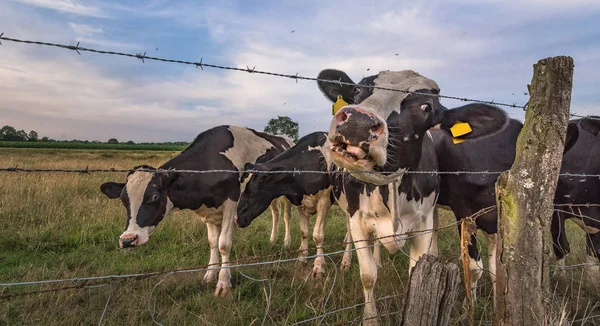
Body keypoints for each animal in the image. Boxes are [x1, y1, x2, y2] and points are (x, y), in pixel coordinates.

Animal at [100, 125, 292, 296]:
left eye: (154, 196)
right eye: (123, 200)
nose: (128, 240)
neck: (212, 162)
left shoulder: (231, 205)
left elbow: (224, 244)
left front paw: (223, 283)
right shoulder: (210, 211)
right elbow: (213, 242)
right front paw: (210, 275)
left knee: (286, 215)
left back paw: (286, 241)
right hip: (268, 195)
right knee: (275, 212)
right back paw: (273, 239)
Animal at [316, 69, 508, 324]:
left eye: (426, 107)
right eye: (357, 90)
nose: (358, 122)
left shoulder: (425, 223)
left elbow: (415, 272)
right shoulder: (358, 218)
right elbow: (368, 275)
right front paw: (371, 318)